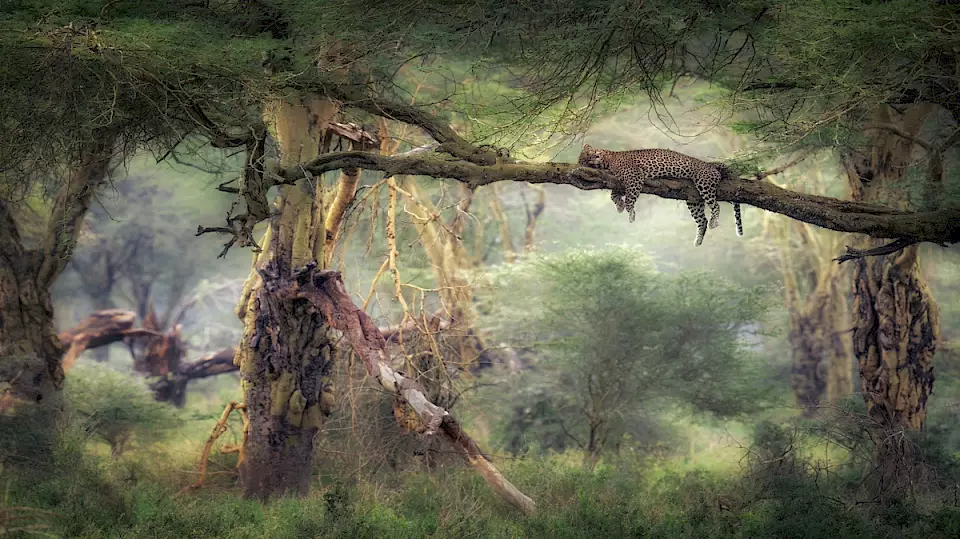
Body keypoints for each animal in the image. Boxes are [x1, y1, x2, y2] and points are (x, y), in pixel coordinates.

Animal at [578, 144, 743, 246]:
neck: (608, 159)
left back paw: (714, 222)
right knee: (702, 220)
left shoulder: (634, 177)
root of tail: (711, 165)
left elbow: (630, 199)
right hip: (693, 199)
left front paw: (630, 213)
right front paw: (619, 206)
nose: (595, 155)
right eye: (585, 159)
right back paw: (698, 240)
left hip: (704, 184)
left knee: (715, 206)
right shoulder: (620, 181)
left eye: (591, 153)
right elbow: (614, 195)